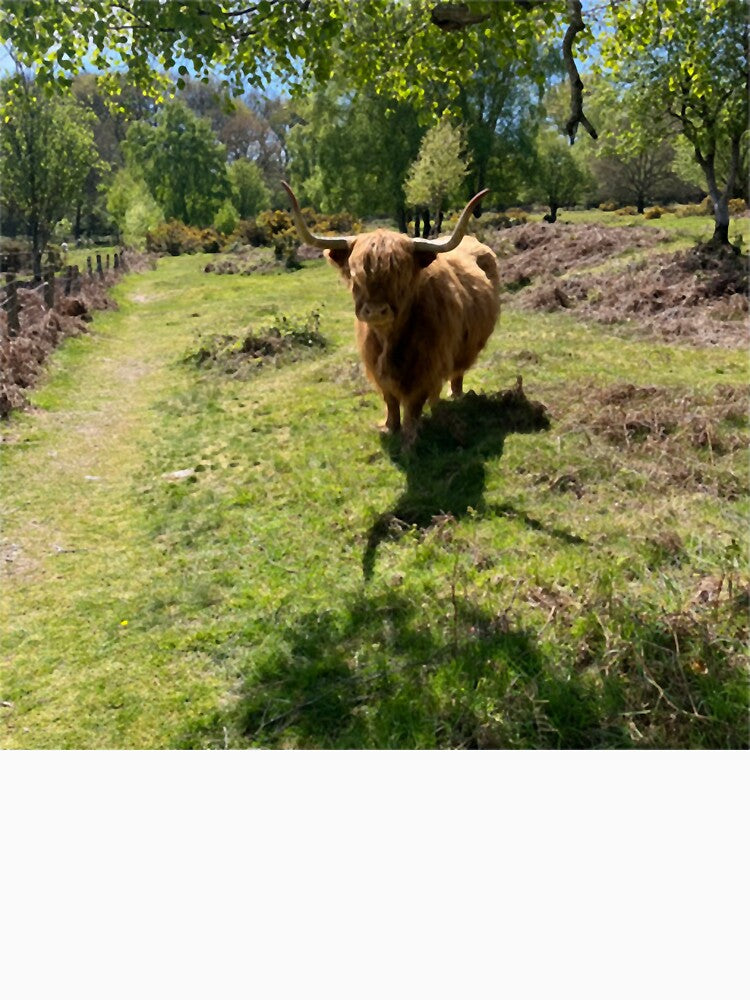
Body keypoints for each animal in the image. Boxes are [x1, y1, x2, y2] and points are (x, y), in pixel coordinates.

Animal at [281, 182, 501, 444]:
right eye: (355, 275)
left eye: (401, 274)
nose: (376, 310)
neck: (389, 340)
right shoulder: (377, 367)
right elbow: (391, 400)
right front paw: (389, 427)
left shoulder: (425, 367)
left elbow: (414, 403)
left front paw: (410, 435)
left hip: (466, 349)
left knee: (458, 373)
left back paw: (455, 395)